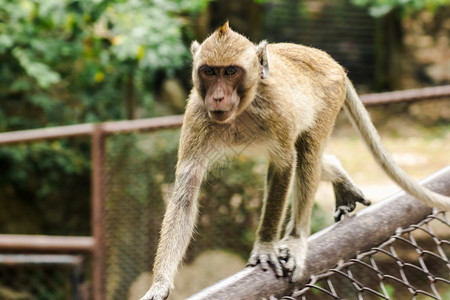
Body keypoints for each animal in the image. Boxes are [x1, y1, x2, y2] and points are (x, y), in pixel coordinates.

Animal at [139, 21, 448, 300]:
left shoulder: (275, 111)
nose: (217, 96)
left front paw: (265, 245)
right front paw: (160, 284)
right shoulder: (197, 115)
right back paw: (340, 178)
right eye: (209, 72)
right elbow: (185, 193)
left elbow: (285, 165)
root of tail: (330, 60)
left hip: (329, 99)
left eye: (230, 71)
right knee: (310, 158)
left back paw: (297, 237)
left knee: (307, 153)